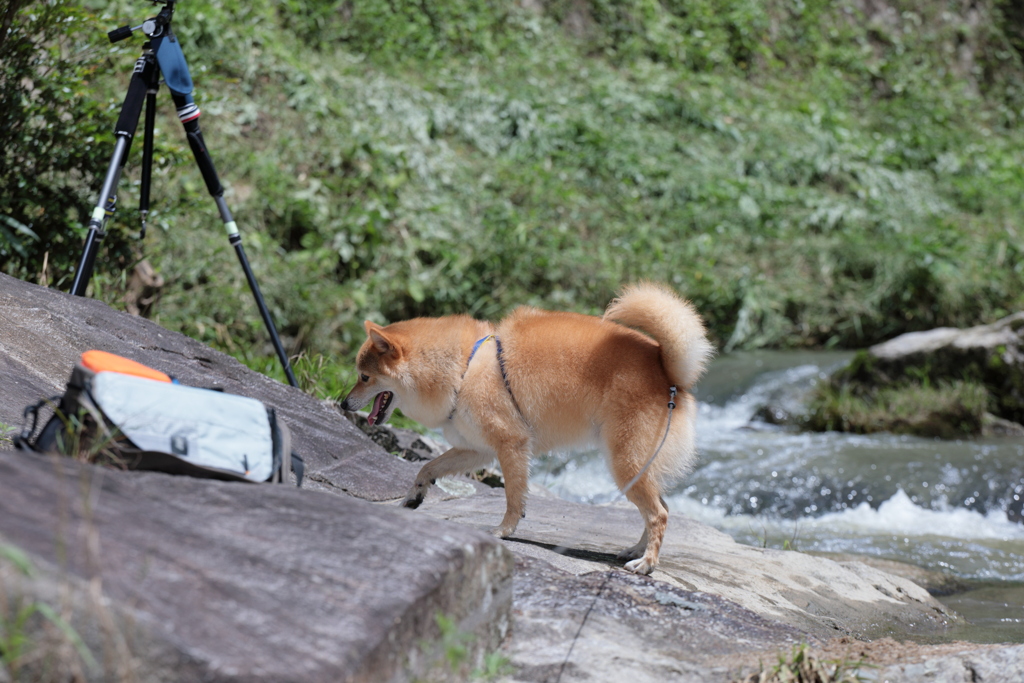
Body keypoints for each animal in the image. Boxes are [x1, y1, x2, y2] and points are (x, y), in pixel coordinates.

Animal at [339, 280, 708, 573]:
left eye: (364, 377)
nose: (342, 404)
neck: (464, 367)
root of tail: (668, 371)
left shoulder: (511, 445)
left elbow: (513, 499)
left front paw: (503, 532)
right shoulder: (476, 450)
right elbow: (427, 467)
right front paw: (414, 497)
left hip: (625, 462)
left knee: (658, 514)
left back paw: (646, 563)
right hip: (637, 467)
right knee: (661, 508)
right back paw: (635, 549)